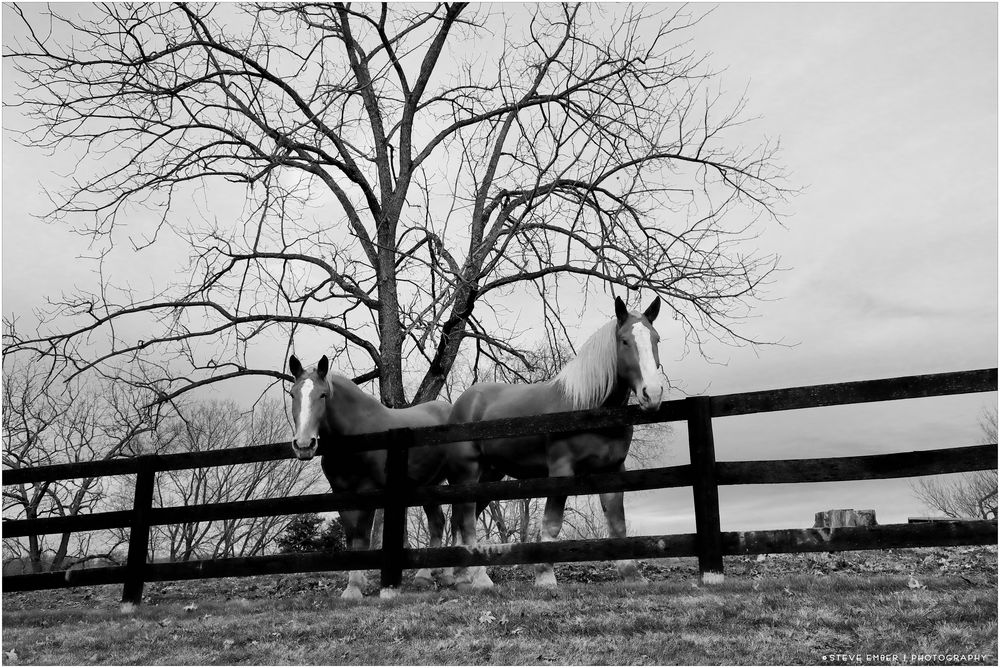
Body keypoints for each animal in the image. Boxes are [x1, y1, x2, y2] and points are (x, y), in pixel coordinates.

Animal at [288, 358, 486, 596]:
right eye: (292, 394)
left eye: (323, 395)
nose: (303, 445)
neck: (356, 433)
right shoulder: (341, 493)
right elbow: (351, 537)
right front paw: (357, 583)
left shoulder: (367, 491)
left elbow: (361, 537)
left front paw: (354, 588)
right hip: (427, 485)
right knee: (438, 523)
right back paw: (425, 576)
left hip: (457, 479)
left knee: (457, 521)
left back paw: (454, 575)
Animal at [450, 294, 668, 588]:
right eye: (624, 341)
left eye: (656, 339)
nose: (652, 394)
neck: (586, 408)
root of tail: (463, 403)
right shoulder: (560, 470)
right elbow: (552, 524)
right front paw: (545, 577)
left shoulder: (612, 470)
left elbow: (617, 524)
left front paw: (632, 574)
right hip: (469, 475)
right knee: (467, 521)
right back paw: (479, 578)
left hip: (489, 476)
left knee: (464, 519)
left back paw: (460, 577)